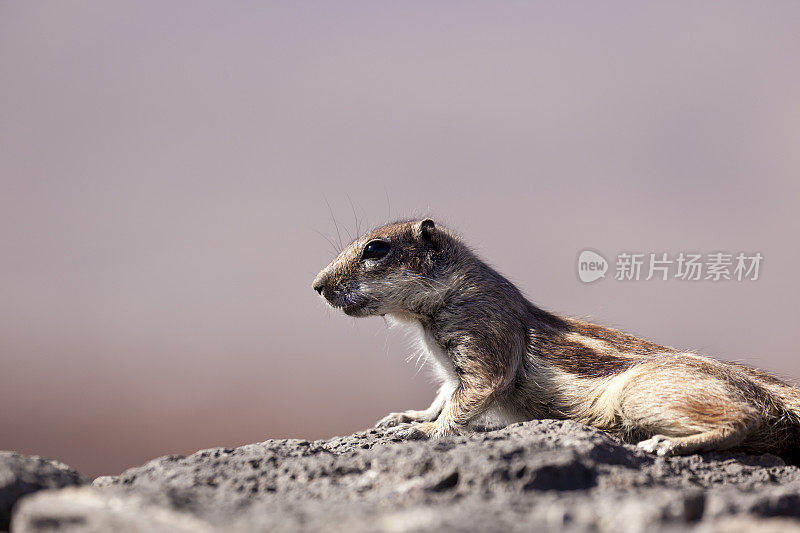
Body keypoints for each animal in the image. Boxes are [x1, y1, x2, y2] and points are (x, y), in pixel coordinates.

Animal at [312, 218, 800, 456]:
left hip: (642, 393)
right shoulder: (451, 370)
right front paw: (408, 416)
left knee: (744, 420)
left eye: (375, 249)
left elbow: (468, 400)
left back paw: (666, 445)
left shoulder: (484, 339)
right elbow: (443, 395)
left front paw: (424, 431)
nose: (316, 286)